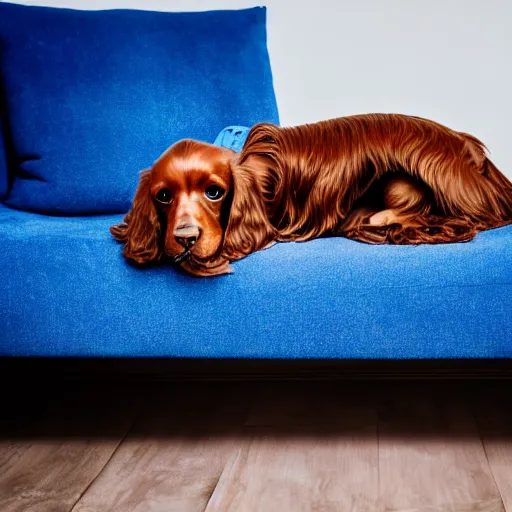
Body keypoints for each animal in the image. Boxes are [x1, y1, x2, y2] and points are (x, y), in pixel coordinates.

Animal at [111, 114, 512, 278]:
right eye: (163, 196)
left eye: (214, 192)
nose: (186, 239)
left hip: (406, 179)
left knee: (452, 219)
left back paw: (378, 219)